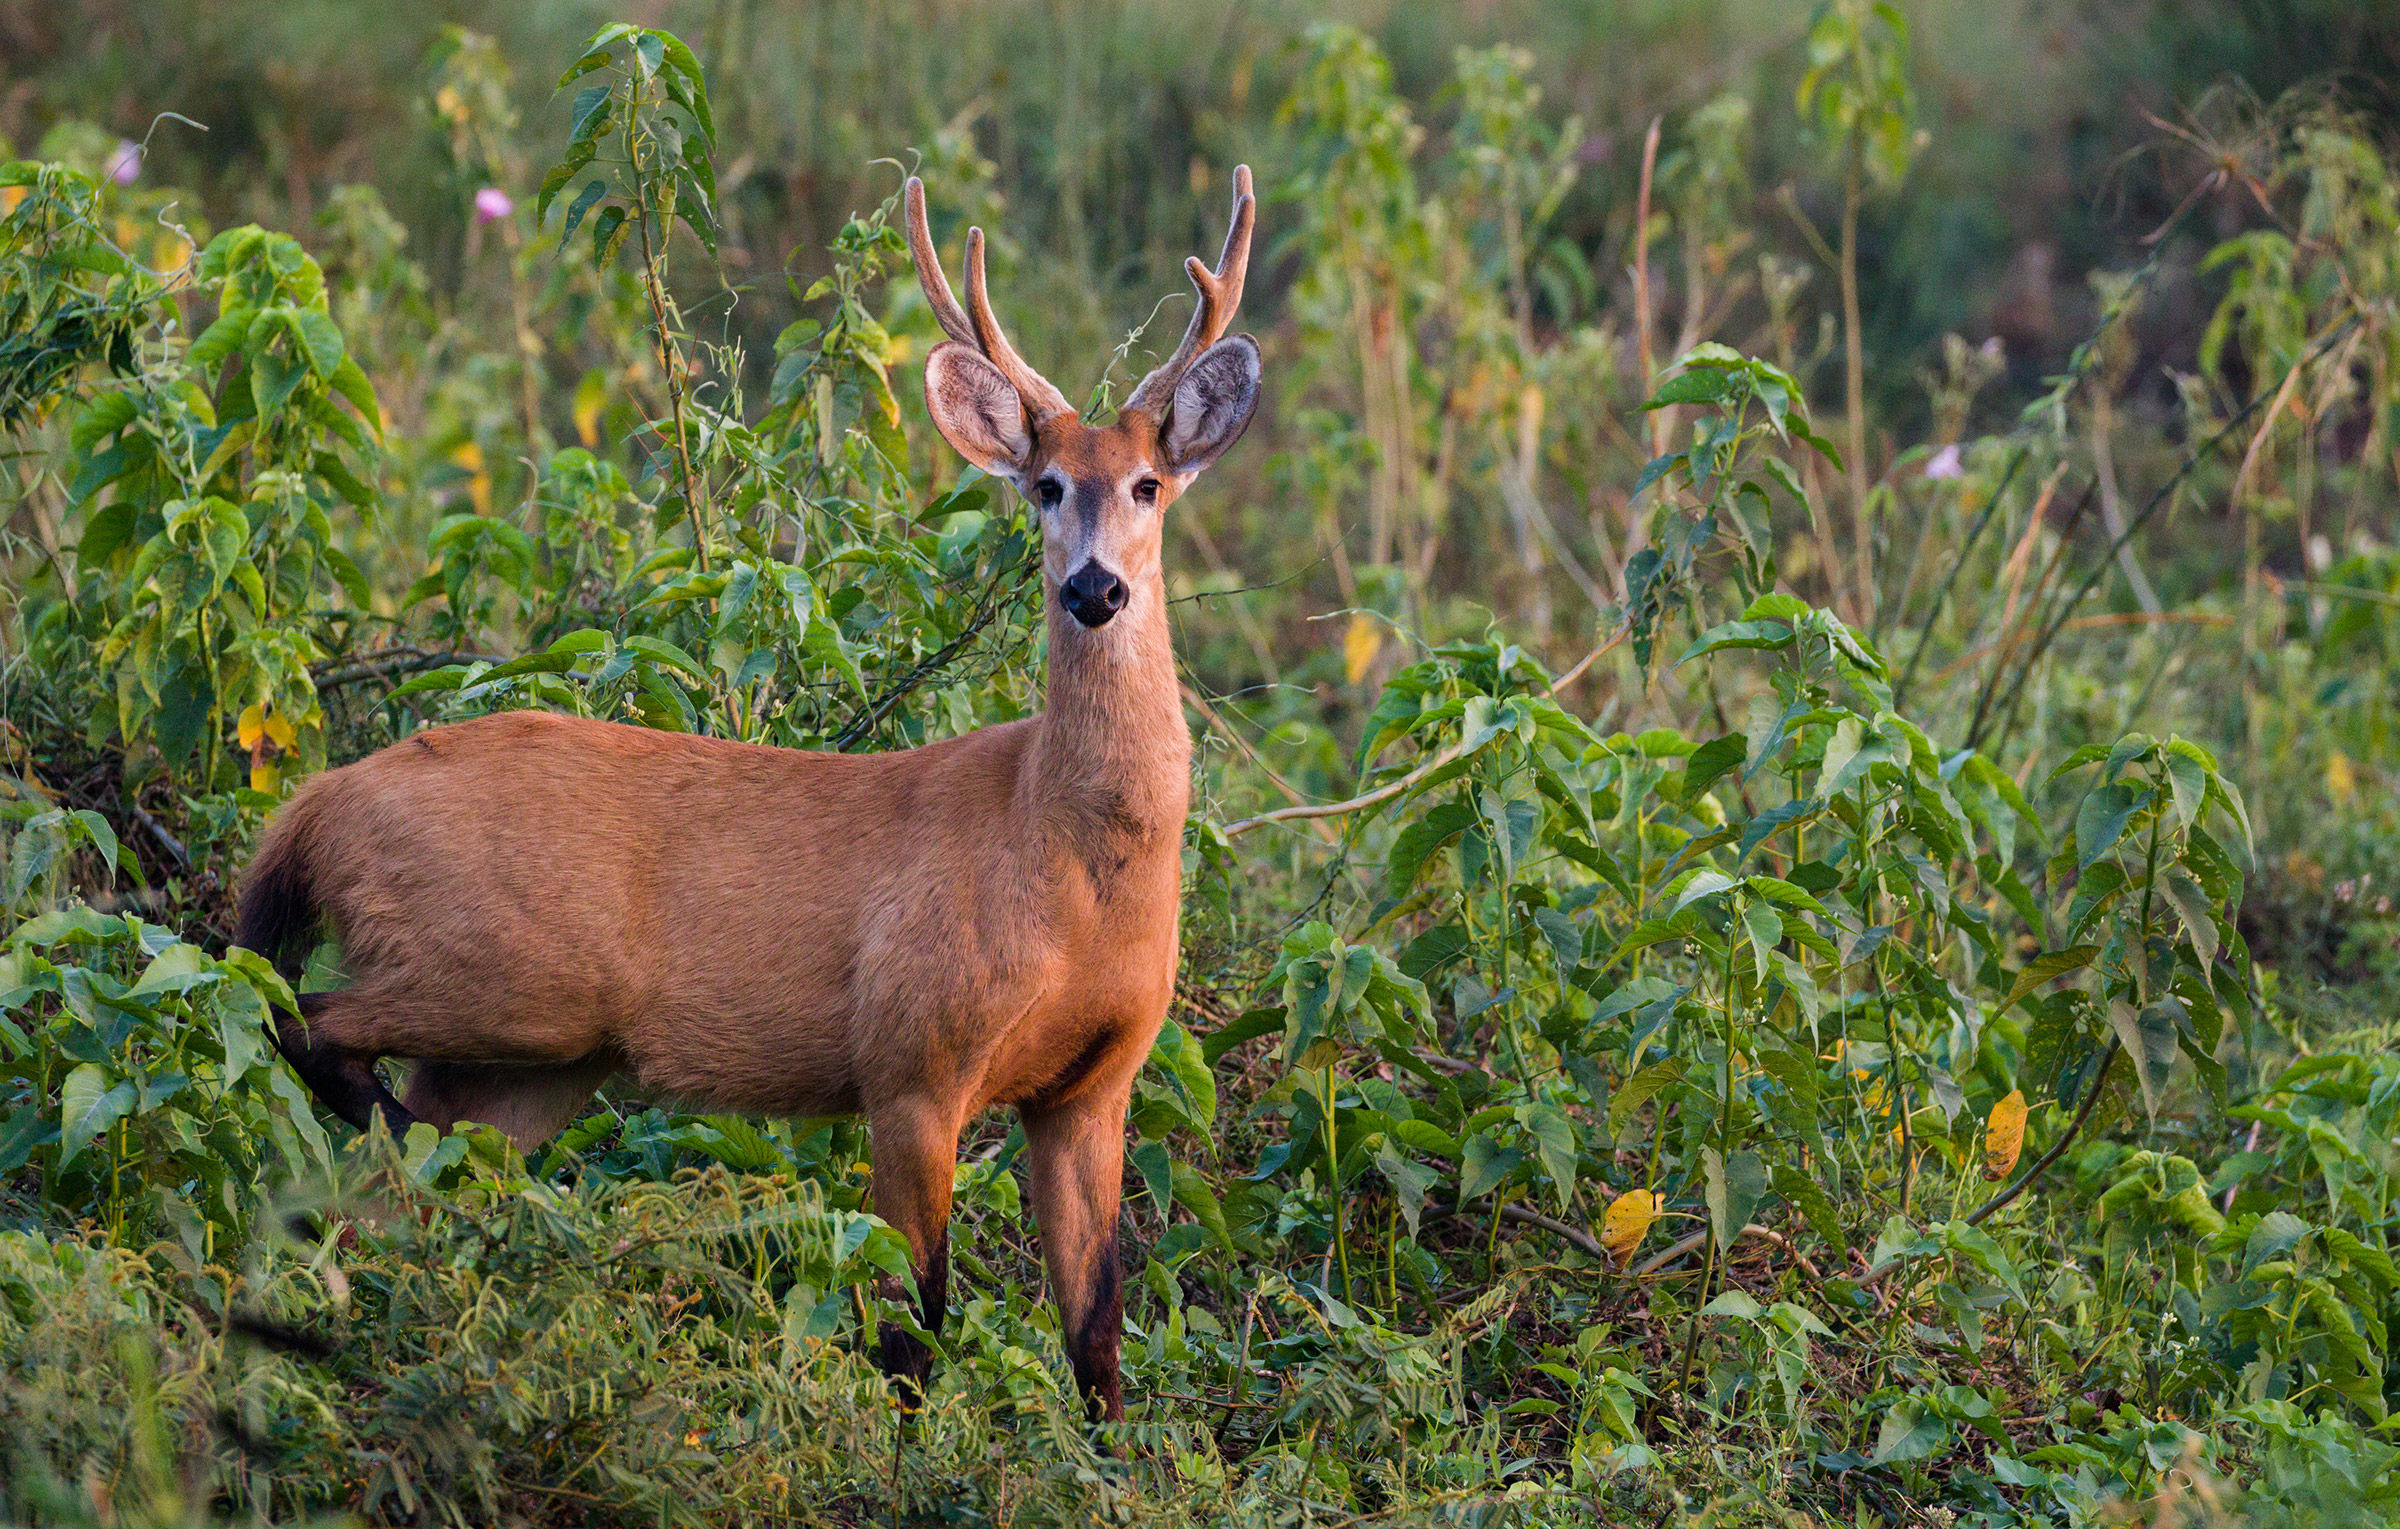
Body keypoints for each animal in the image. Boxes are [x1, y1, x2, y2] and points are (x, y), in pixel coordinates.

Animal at [234, 167, 1261, 1421]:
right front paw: (907, 1444)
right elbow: (913, 1324)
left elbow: (1099, 1338)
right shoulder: (909, 1055)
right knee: (299, 1015)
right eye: (1047, 486)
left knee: (374, 1165)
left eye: (1150, 484)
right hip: (501, 972)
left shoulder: (1094, 1085)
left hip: (528, 1062)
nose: (1096, 589)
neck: (1065, 855)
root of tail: (316, 804)